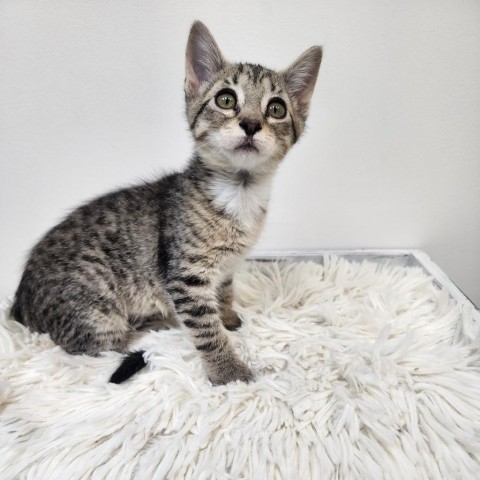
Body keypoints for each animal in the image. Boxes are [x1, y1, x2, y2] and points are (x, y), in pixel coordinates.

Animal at [12, 20, 322, 384]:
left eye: (276, 109)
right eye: (226, 99)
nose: (250, 123)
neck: (240, 192)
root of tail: (19, 305)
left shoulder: (226, 266)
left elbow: (224, 291)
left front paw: (228, 317)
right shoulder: (185, 275)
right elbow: (206, 328)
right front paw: (228, 371)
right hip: (94, 306)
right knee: (99, 344)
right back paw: (154, 327)